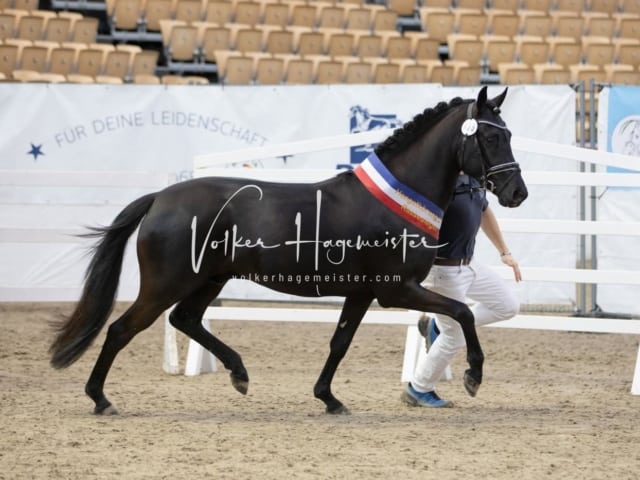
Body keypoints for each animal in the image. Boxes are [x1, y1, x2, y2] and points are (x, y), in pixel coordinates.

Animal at [50, 87, 528, 416]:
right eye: (488, 138)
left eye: (508, 134)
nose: (516, 192)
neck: (394, 200)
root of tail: (160, 199)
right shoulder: (397, 290)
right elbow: (462, 313)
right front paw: (473, 376)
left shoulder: (362, 293)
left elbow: (340, 342)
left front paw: (329, 398)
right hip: (166, 283)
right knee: (121, 329)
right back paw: (100, 398)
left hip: (210, 280)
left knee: (184, 319)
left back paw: (240, 375)